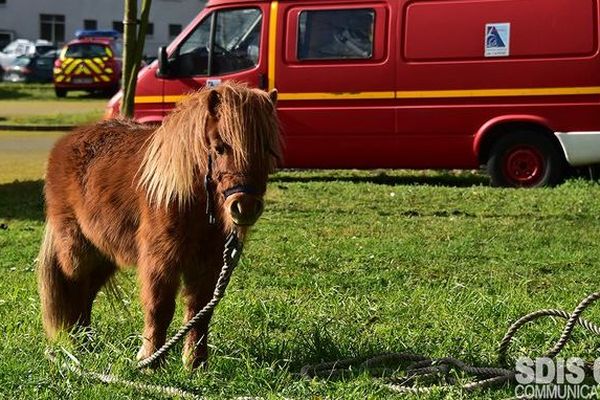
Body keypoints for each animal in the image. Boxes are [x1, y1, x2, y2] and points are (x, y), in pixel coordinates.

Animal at [37, 82, 282, 368]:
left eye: (266, 149)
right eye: (220, 147)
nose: (244, 207)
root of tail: (66, 142)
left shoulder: (208, 264)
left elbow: (199, 310)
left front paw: (195, 363)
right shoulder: (160, 260)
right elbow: (159, 307)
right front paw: (150, 361)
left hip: (104, 252)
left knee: (88, 291)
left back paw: (87, 342)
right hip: (77, 248)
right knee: (74, 285)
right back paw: (75, 344)